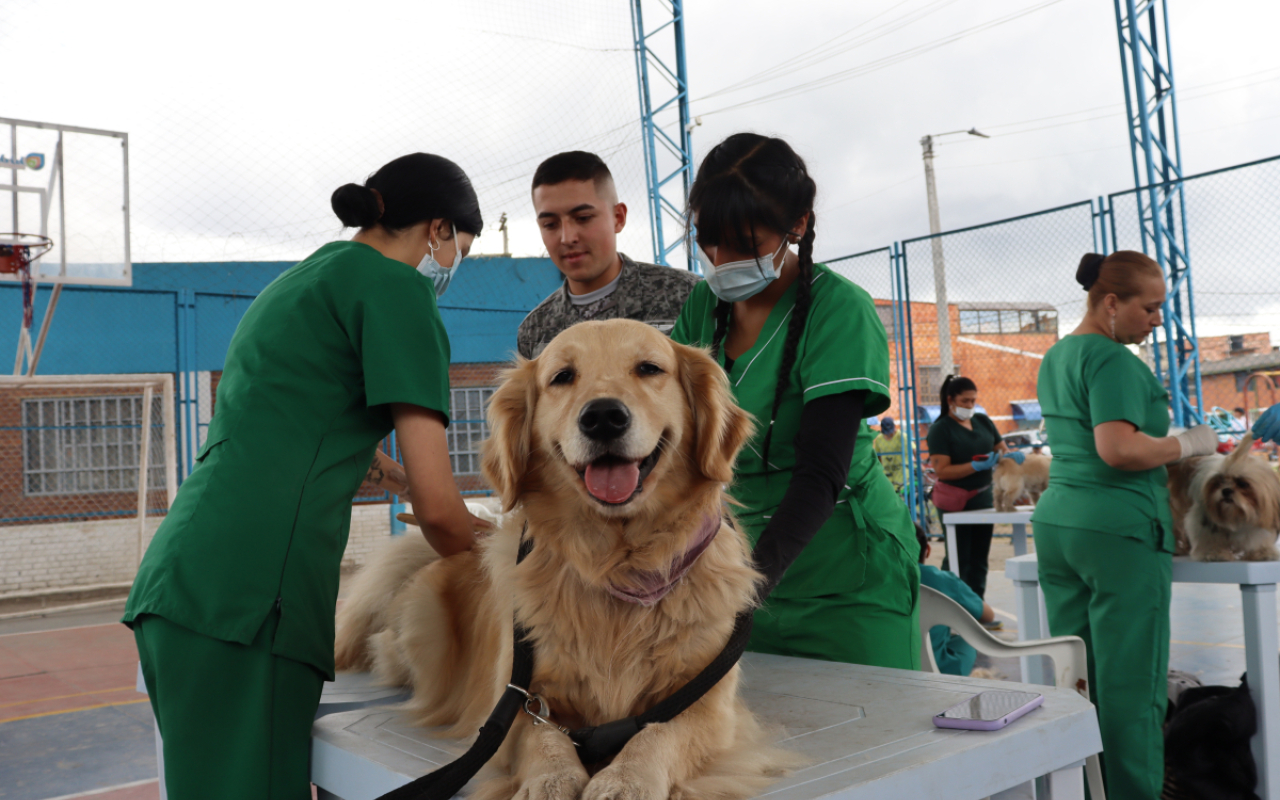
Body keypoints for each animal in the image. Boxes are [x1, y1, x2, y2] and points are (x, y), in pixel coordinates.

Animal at [335, 318, 793, 798]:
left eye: (649, 368)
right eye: (562, 377)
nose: (604, 417)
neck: (619, 565)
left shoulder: (709, 705)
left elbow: (659, 733)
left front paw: (627, 777)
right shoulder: (516, 700)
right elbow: (542, 737)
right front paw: (552, 779)